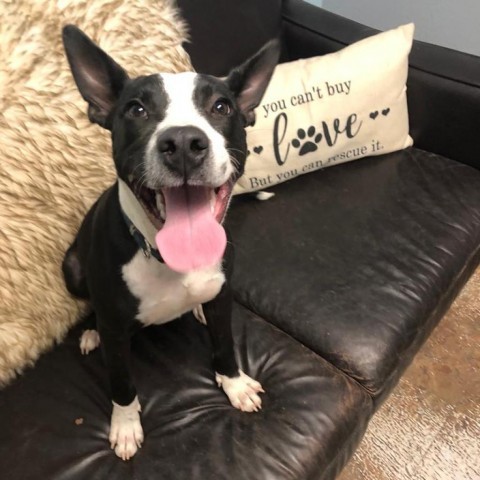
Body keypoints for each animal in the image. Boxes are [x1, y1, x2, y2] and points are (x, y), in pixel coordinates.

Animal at [61, 24, 278, 460]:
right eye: (136, 109)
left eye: (222, 107)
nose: (182, 143)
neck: (169, 260)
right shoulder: (117, 333)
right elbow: (122, 383)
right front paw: (126, 425)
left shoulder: (223, 297)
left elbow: (225, 344)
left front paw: (234, 384)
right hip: (72, 268)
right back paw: (91, 332)